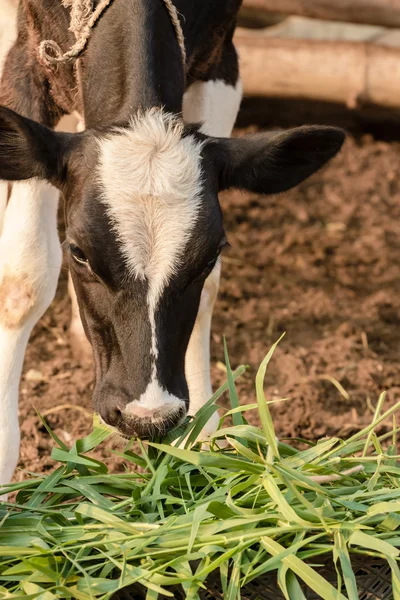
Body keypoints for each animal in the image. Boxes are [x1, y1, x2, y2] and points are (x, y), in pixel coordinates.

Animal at [0, 0, 344, 488]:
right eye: (80, 253)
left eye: (212, 253)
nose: (147, 417)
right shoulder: (26, 66)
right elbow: (22, 280)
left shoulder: (220, 60)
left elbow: (210, 291)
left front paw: (203, 435)